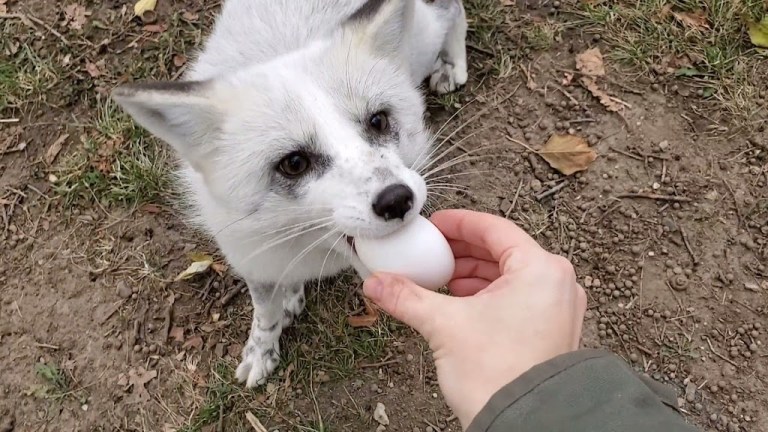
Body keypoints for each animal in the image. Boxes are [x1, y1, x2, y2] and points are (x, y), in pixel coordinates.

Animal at [111, 0, 464, 386]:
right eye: (294, 163)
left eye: (378, 121)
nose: (397, 199)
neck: (309, 246)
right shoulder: (253, 260)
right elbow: (265, 315)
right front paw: (263, 348)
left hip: (425, 39)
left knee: (452, 9)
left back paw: (452, 65)